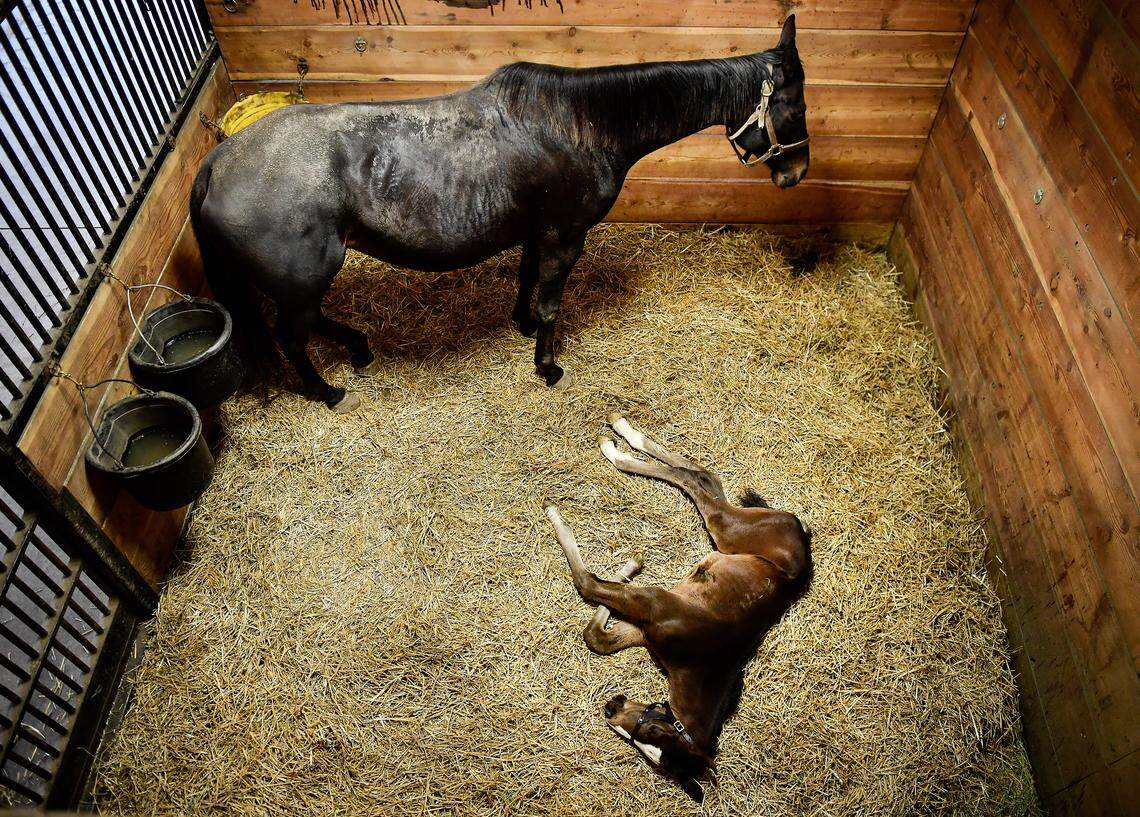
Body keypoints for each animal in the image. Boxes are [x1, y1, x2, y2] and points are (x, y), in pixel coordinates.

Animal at [190, 17, 809, 412]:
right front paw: (547, 365)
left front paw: (523, 323)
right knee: (292, 335)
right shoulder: (566, 233)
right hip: (303, 277)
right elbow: (552, 298)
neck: (580, 124)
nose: (796, 173)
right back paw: (328, 391)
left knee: (308, 322)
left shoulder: (539, 230)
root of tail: (218, 160)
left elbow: (527, 276)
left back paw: (359, 348)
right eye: (794, 105)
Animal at [546, 413, 812, 801]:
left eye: (649, 739)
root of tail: (802, 536)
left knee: (701, 479)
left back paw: (618, 442)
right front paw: (623, 562)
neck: (699, 658)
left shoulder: (646, 618)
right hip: (728, 530)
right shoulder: (652, 606)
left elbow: (594, 623)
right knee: (699, 478)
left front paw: (626, 565)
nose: (611, 707)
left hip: (727, 532)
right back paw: (617, 439)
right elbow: (591, 593)